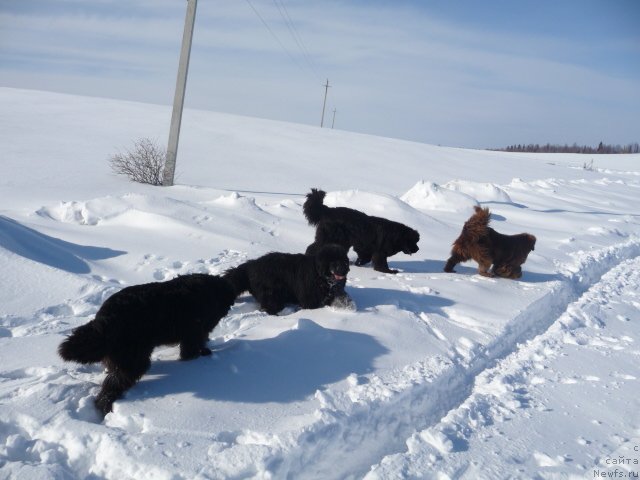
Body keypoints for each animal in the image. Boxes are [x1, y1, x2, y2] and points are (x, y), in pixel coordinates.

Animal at [58, 274, 235, 416]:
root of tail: (105, 319)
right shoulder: (193, 331)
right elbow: (192, 348)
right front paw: (200, 355)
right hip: (134, 358)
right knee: (112, 385)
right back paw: (106, 407)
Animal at [224, 244, 352, 316]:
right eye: (333, 261)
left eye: (343, 260)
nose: (343, 270)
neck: (319, 274)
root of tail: (251, 265)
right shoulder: (309, 297)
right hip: (270, 293)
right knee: (269, 306)